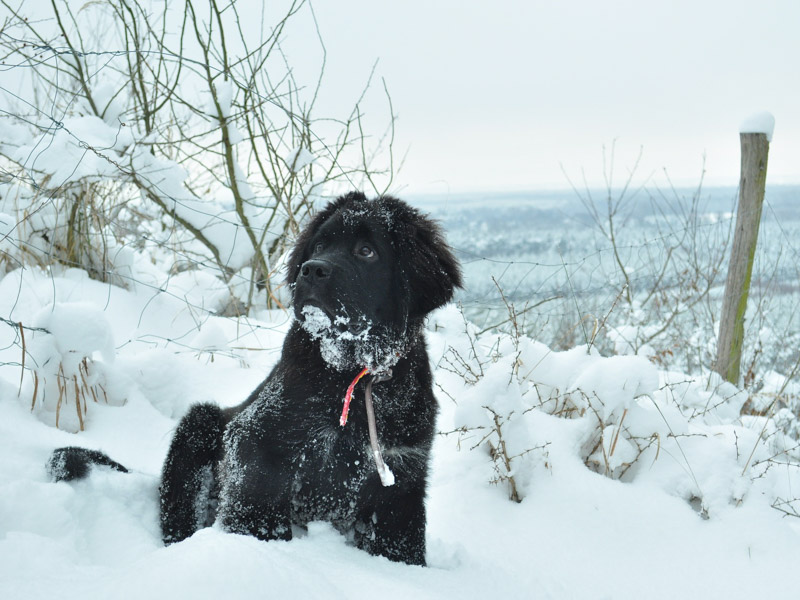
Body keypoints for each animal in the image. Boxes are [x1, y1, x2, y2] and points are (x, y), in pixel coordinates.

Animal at [47, 193, 462, 568]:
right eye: (320, 245)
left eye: (366, 251)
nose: (311, 269)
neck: (351, 374)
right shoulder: (257, 442)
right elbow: (256, 510)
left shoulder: (402, 478)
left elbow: (401, 544)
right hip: (198, 427)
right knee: (177, 516)